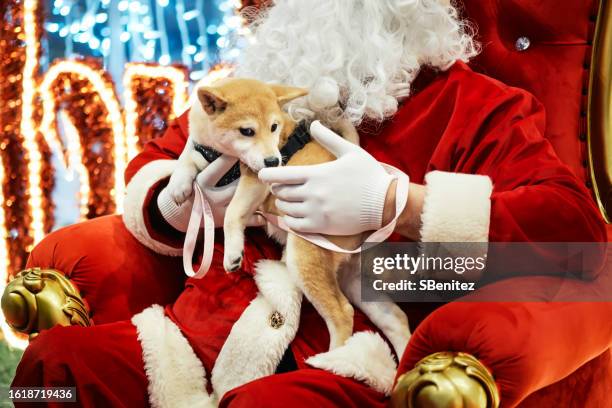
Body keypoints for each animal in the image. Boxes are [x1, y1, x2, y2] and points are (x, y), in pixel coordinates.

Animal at [167, 77, 408, 350]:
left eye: (274, 127)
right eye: (247, 131)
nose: (274, 162)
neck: (222, 154)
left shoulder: (254, 179)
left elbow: (231, 213)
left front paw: (233, 252)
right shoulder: (202, 151)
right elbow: (185, 158)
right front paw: (177, 185)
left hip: (304, 256)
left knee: (342, 313)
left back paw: (330, 358)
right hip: (350, 275)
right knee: (394, 317)